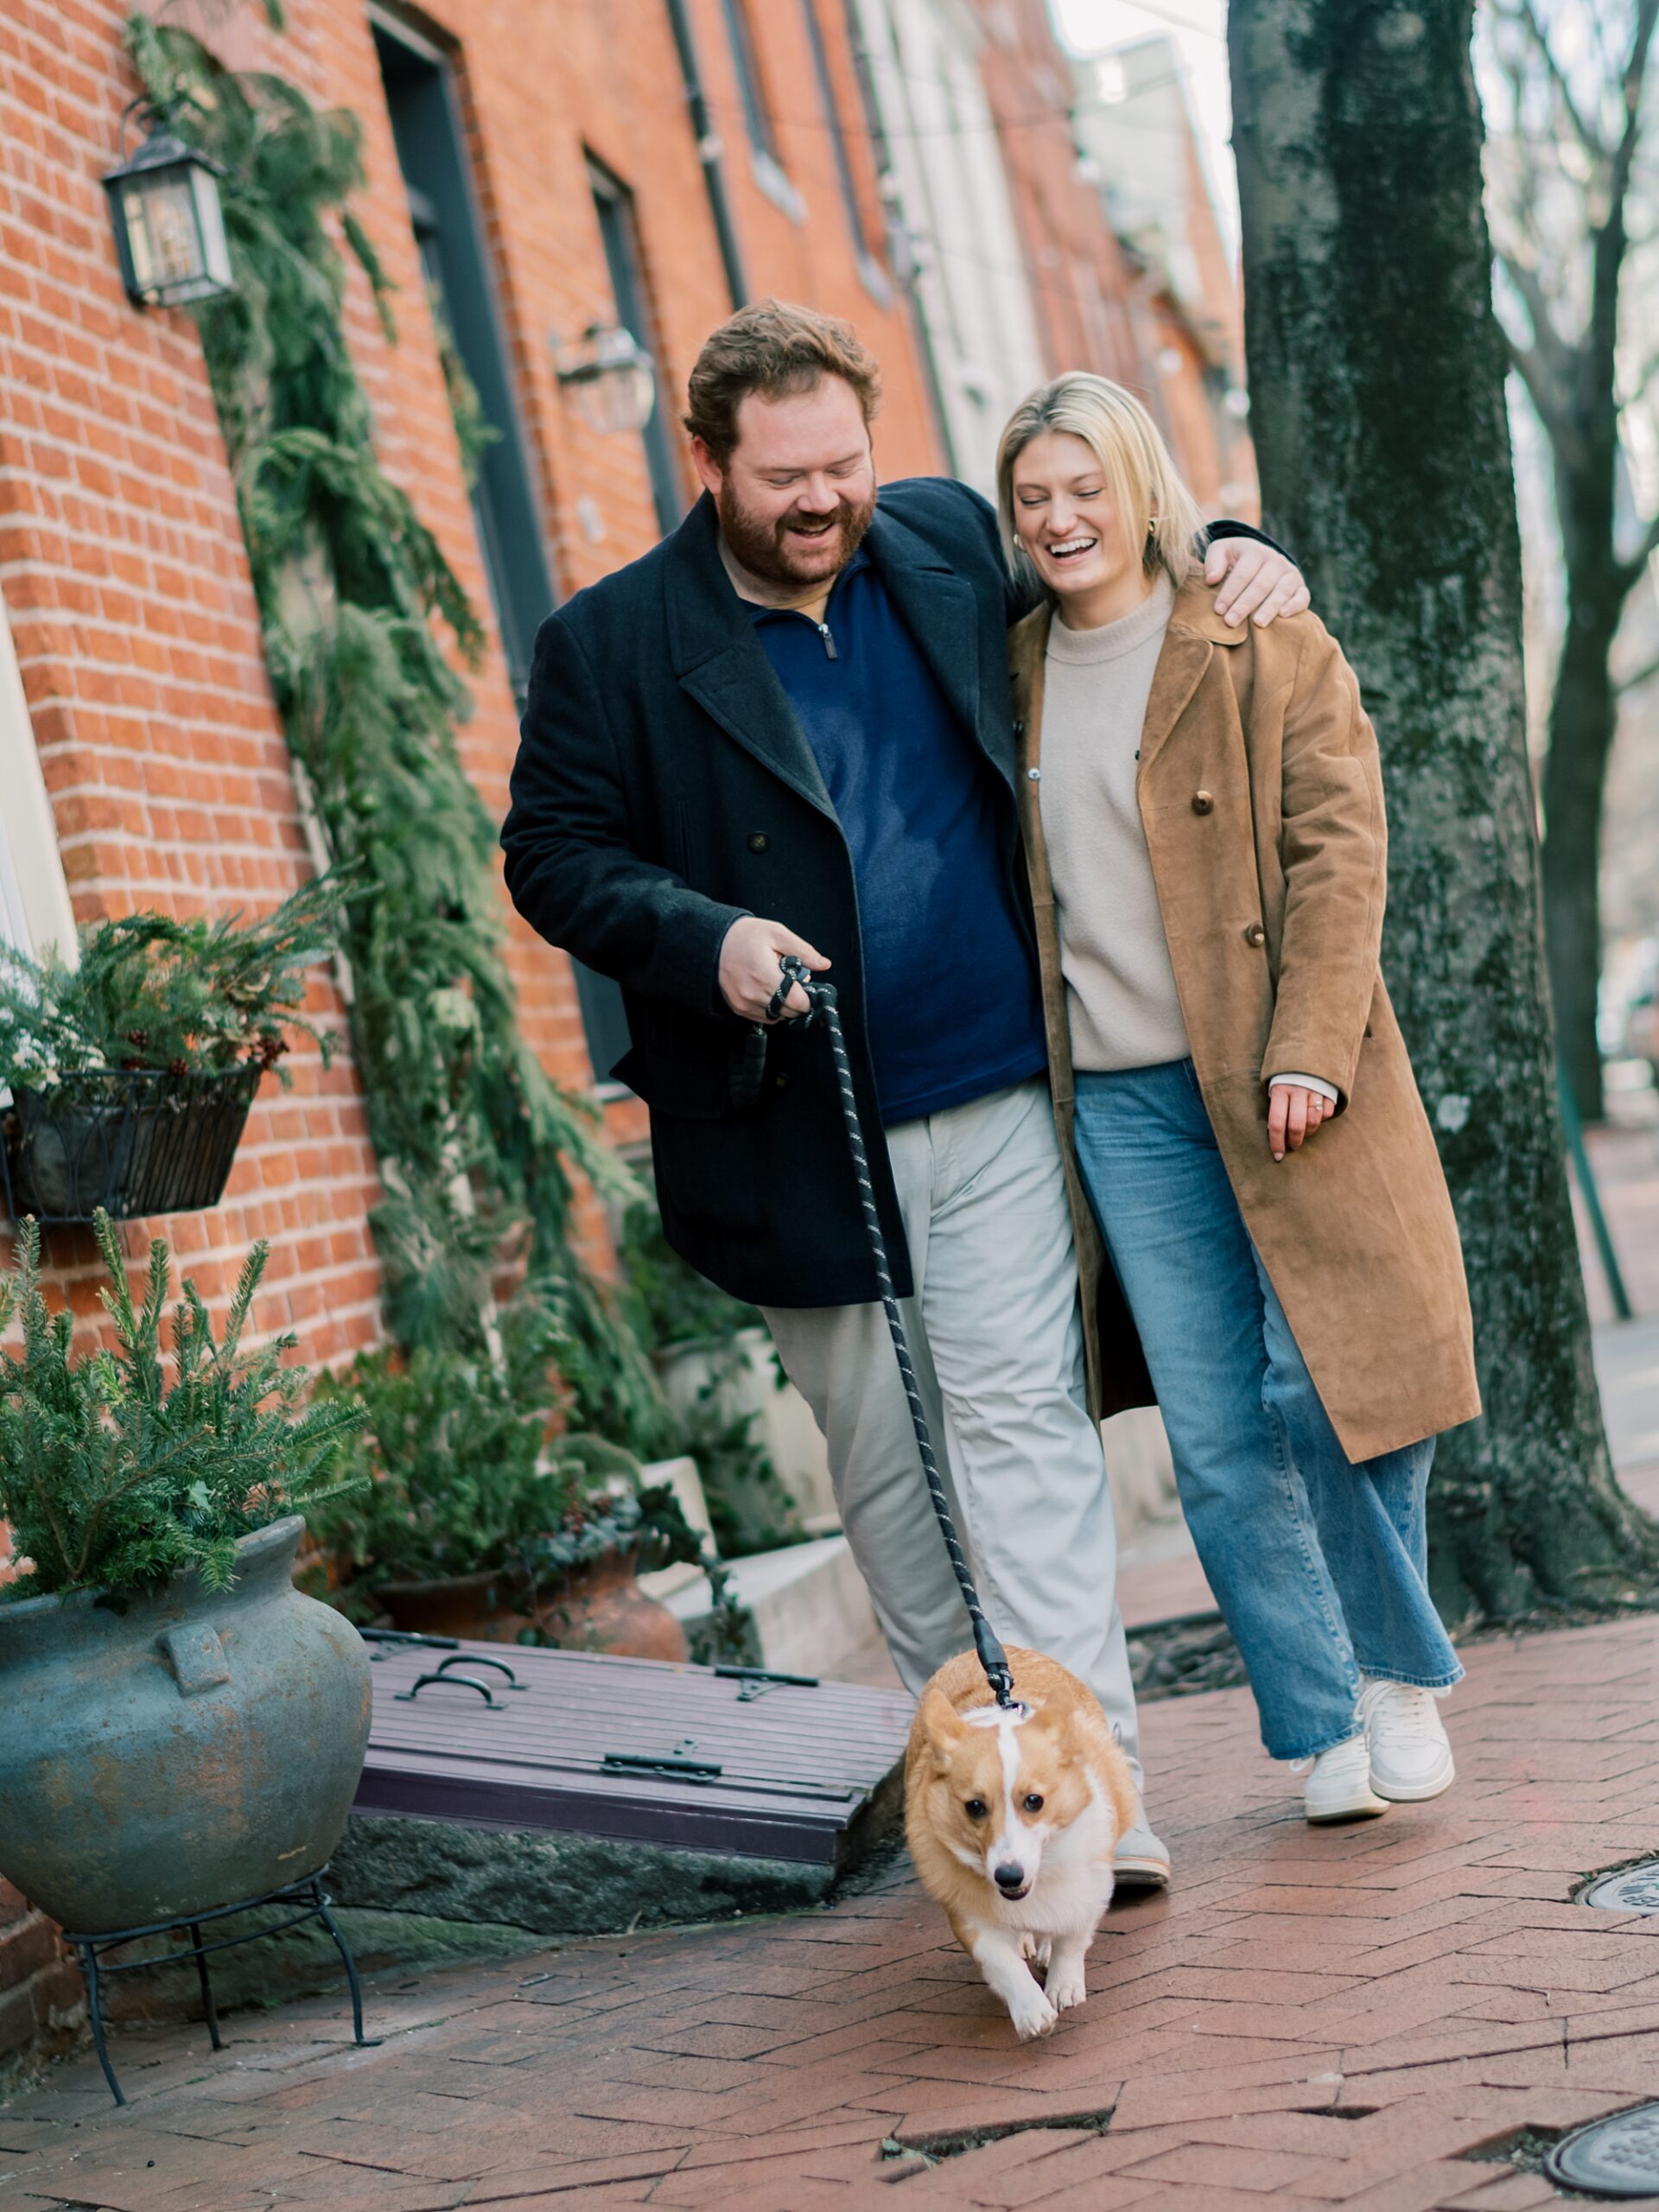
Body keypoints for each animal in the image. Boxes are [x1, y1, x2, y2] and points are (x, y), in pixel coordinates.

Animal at [911, 1645, 1141, 2035]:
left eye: (1035, 1801)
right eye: (974, 1807)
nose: (1008, 1877)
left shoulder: (1089, 1886)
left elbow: (1071, 1937)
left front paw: (1063, 1985)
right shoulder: (969, 1914)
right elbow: (1001, 1963)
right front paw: (1032, 2010)